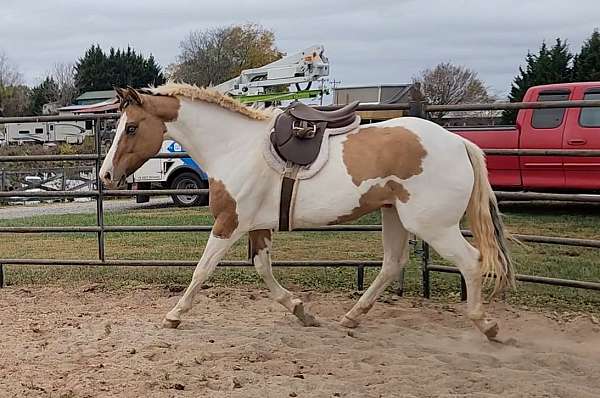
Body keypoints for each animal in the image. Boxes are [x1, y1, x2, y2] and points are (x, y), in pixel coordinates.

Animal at [101, 84, 512, 338]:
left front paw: (174, 315)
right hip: (395, 215)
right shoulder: (258, 226)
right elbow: (262, 269)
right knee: (393, 263)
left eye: (131, 128)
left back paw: (487, 325)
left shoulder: (230, 222)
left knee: (471, 260)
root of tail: (458, 142)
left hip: (432, 225)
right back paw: (351, 316)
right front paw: (302, 310)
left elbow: (202, 270)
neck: (234, 146)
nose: (106, 174)